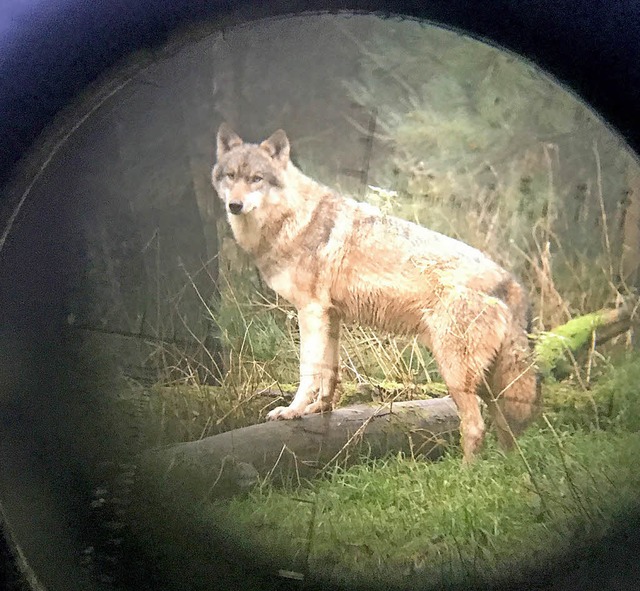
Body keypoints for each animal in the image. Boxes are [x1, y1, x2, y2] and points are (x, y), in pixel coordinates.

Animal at [212, 123, 544, 462]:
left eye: (256, 179)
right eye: (231, 176)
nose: (234, 206)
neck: (292, 219)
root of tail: (511, 282)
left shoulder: (311, 312)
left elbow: (308, 371)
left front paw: (292, 411)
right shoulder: (331, 316)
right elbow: (330, 371)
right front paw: (321, 408)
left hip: (455, 374)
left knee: (476, 427)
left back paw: (466, 473)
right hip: (489, 384)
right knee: (506, 431)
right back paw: (506, 468)